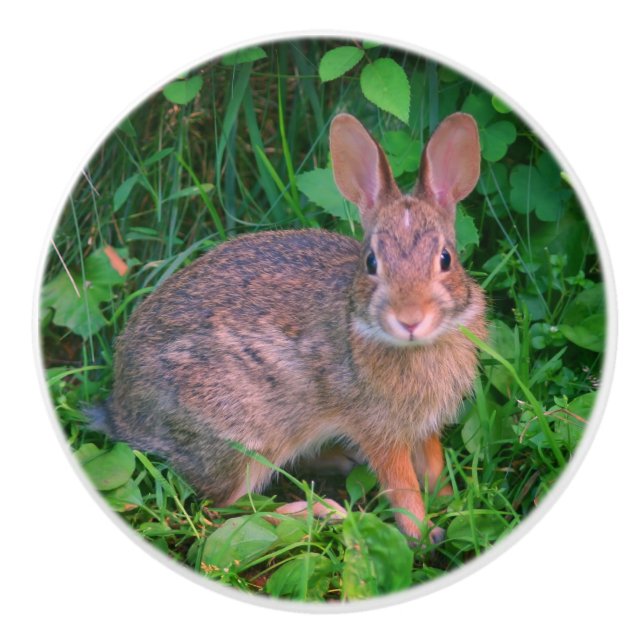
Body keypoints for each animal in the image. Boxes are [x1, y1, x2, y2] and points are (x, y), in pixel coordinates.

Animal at [90, 112, 486, 543]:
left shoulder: (423, 426)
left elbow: (432, 463)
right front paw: (422, 533)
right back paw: (319, 512)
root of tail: (123, 412)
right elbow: (402, 486)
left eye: (446, 258)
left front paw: (451, 501)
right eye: (371, 262)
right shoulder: (379, 429)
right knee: (224, 512)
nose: (410, 318)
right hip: (245, 437)